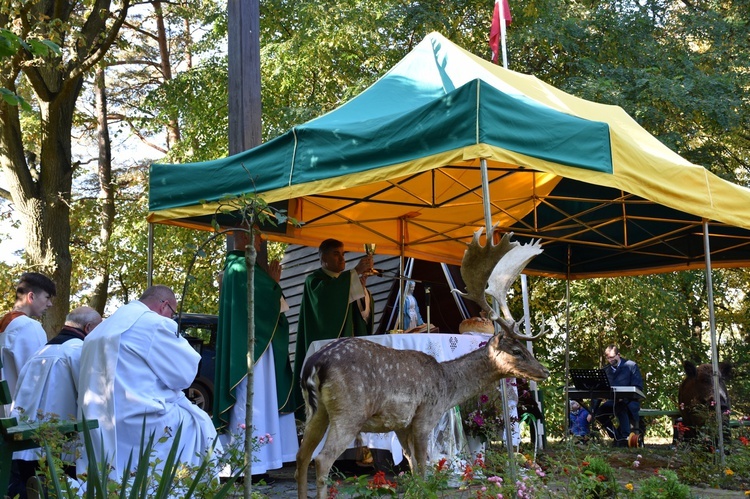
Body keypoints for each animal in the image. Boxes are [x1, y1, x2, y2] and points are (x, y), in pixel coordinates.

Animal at [296, 227, 548, 499]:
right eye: (516, 351)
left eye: (524, 349)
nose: (544, 371)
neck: (447, 387)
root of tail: (315, 364)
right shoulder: (426, 415)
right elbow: (423, 466)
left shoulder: (402, 424)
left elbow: (412, 465)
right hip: (349, 411)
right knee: (321, 459)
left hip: (316, 410)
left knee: (302, 456)